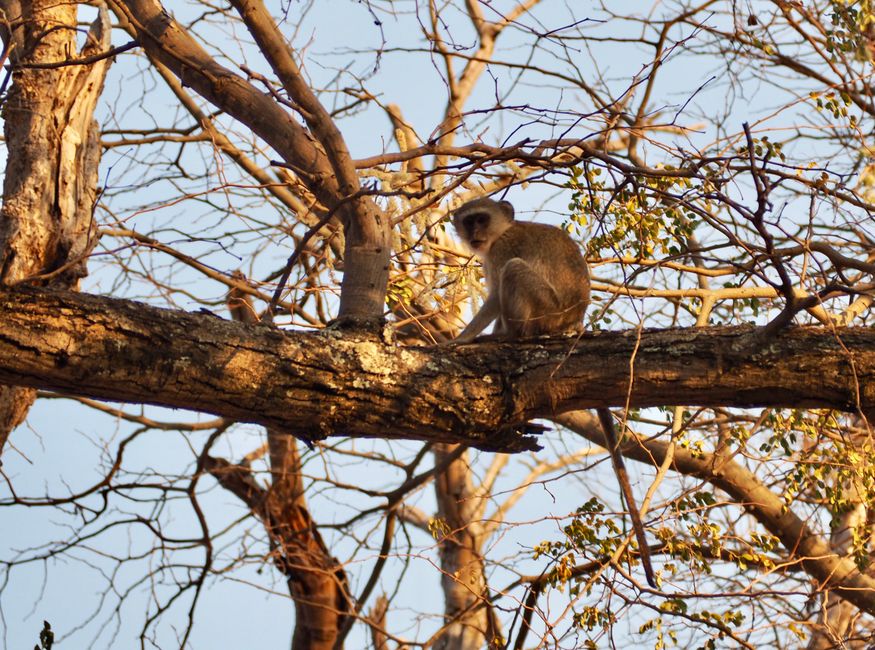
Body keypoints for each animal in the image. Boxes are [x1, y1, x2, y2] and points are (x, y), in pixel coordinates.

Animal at [452, 196, 656, 588]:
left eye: (481, 218)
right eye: (469, 222)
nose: (475, 234)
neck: (502, 231)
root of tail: (573, 322)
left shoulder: (502, 250)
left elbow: (495, 298)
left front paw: (462, 338)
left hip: (543, 310)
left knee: (514, 275)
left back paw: (509, 337)